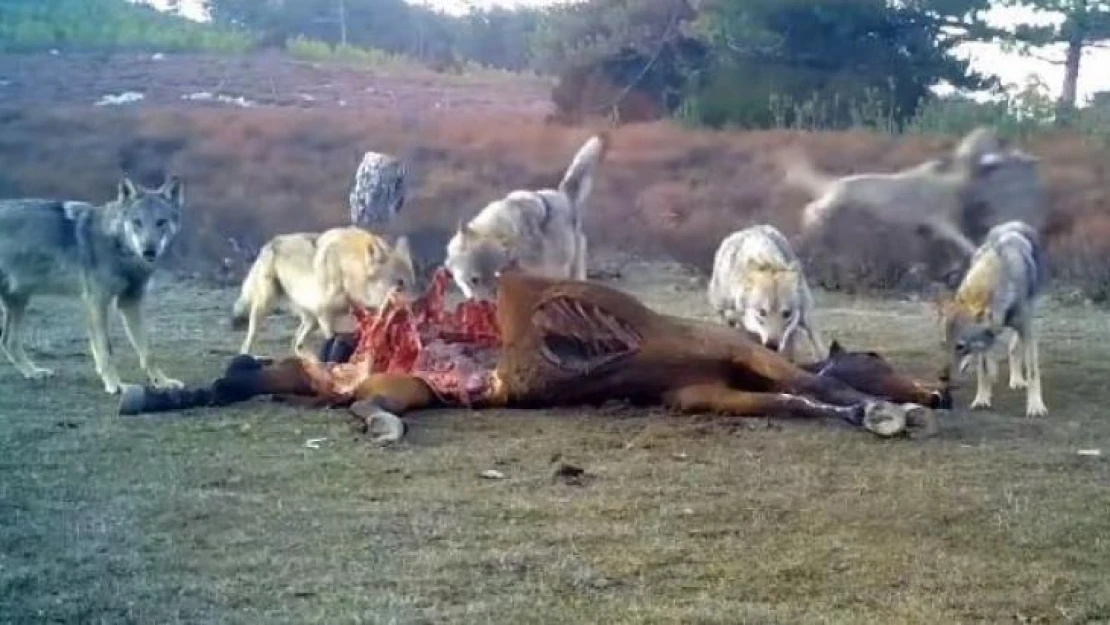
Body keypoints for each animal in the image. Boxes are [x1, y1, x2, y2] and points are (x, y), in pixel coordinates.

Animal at [0, 176, 184, 392]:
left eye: (161, 222)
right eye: (137, 222)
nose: (149, 251)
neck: (120, 251)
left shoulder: (131, 302)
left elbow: (147, 352)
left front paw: (162, 382)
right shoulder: (97, 302)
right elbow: (105, 349)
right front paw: (115, 385)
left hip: (19, 301)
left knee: (8, 342)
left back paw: (33, 372)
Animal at [777, 126, 1012, 256]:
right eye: (1000, 141)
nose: (1013, 152)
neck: (956, 178)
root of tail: (836, 182)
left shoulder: (927, 228)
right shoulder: (942, 222)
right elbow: (968, 244)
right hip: (836, 202)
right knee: (812, 208)